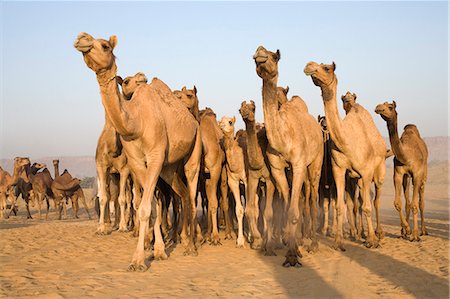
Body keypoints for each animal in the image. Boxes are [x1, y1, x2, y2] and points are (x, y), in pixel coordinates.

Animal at [74, 32, 201, 272]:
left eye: (104, 45)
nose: (81, 38)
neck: (136, 124)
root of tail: (194, 121)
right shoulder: (135, 161)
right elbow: (151, 206)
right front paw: (158, 251)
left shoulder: (155, 157)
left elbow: (144, 208)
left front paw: (138, 260)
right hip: (169, 168)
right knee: (181, 194)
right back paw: (184, 241)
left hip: (194, 149)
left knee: (190, 189)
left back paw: (191, 247)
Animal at [253, 46, 324, 268]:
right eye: (254, 56)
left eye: (275, 56)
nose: (260, 53)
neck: (283, 140)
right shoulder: (277, 168)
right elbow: (286, 207)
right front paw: (288, 245)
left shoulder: (300, 164)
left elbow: (293, 211)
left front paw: (293, 255)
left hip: (316, 162)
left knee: (312, 197)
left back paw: (313, 244)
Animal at [306, 61, 386, 251]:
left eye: (327, 68)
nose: (309, 66)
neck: (348, 143)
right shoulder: (339, 170)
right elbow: (340, 206)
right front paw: (338, 242)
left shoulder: (366, 172)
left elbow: (367, 206)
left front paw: (371, 240)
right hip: (354, 179)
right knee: (356, 202)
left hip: (378, 172)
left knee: (375, 200)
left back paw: (378, 234)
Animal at [372, 101, 428, 241]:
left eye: (390, 107)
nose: (378, 108)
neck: (407, 155)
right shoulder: (398, 173)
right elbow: (398, 202)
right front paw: (406, 229)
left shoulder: (417, 174)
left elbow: (415, 205)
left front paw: (414, 234)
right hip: (406, 178)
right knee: (407, 199)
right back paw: (404, 232)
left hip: (423, 175)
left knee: (421, 201)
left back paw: (423, 231)